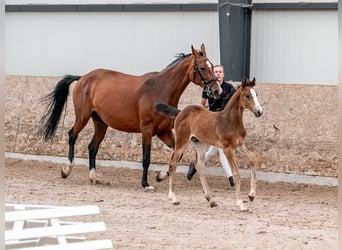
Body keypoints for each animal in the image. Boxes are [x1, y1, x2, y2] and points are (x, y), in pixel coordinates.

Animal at [38, 44, 220, 190]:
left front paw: (160, 176)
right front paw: (146, 184)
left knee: (92, 147)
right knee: (72, 135)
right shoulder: (147, 131)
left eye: (212, 66)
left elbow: (177, 154)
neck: (160, 89)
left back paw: (94, 177)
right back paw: (66, 170)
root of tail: (83, 77)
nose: (216, 90)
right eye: (203, 68)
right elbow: (146, 158)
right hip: (82, 117)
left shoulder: (164, 132)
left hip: (101, 123)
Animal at [154, 78, 264, 211]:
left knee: (199, 165)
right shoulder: (228, 148)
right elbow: (236, 173)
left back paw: (211, 200)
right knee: (173, 163)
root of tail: (181, 112)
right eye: (247, 96)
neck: (230, 121)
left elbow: (253, 159)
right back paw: (173, 198)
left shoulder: (238, 145)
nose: (259, 112)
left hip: (199, 143)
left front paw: (251, 195)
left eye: (256, 94)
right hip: (181, 141)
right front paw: (240, 204)